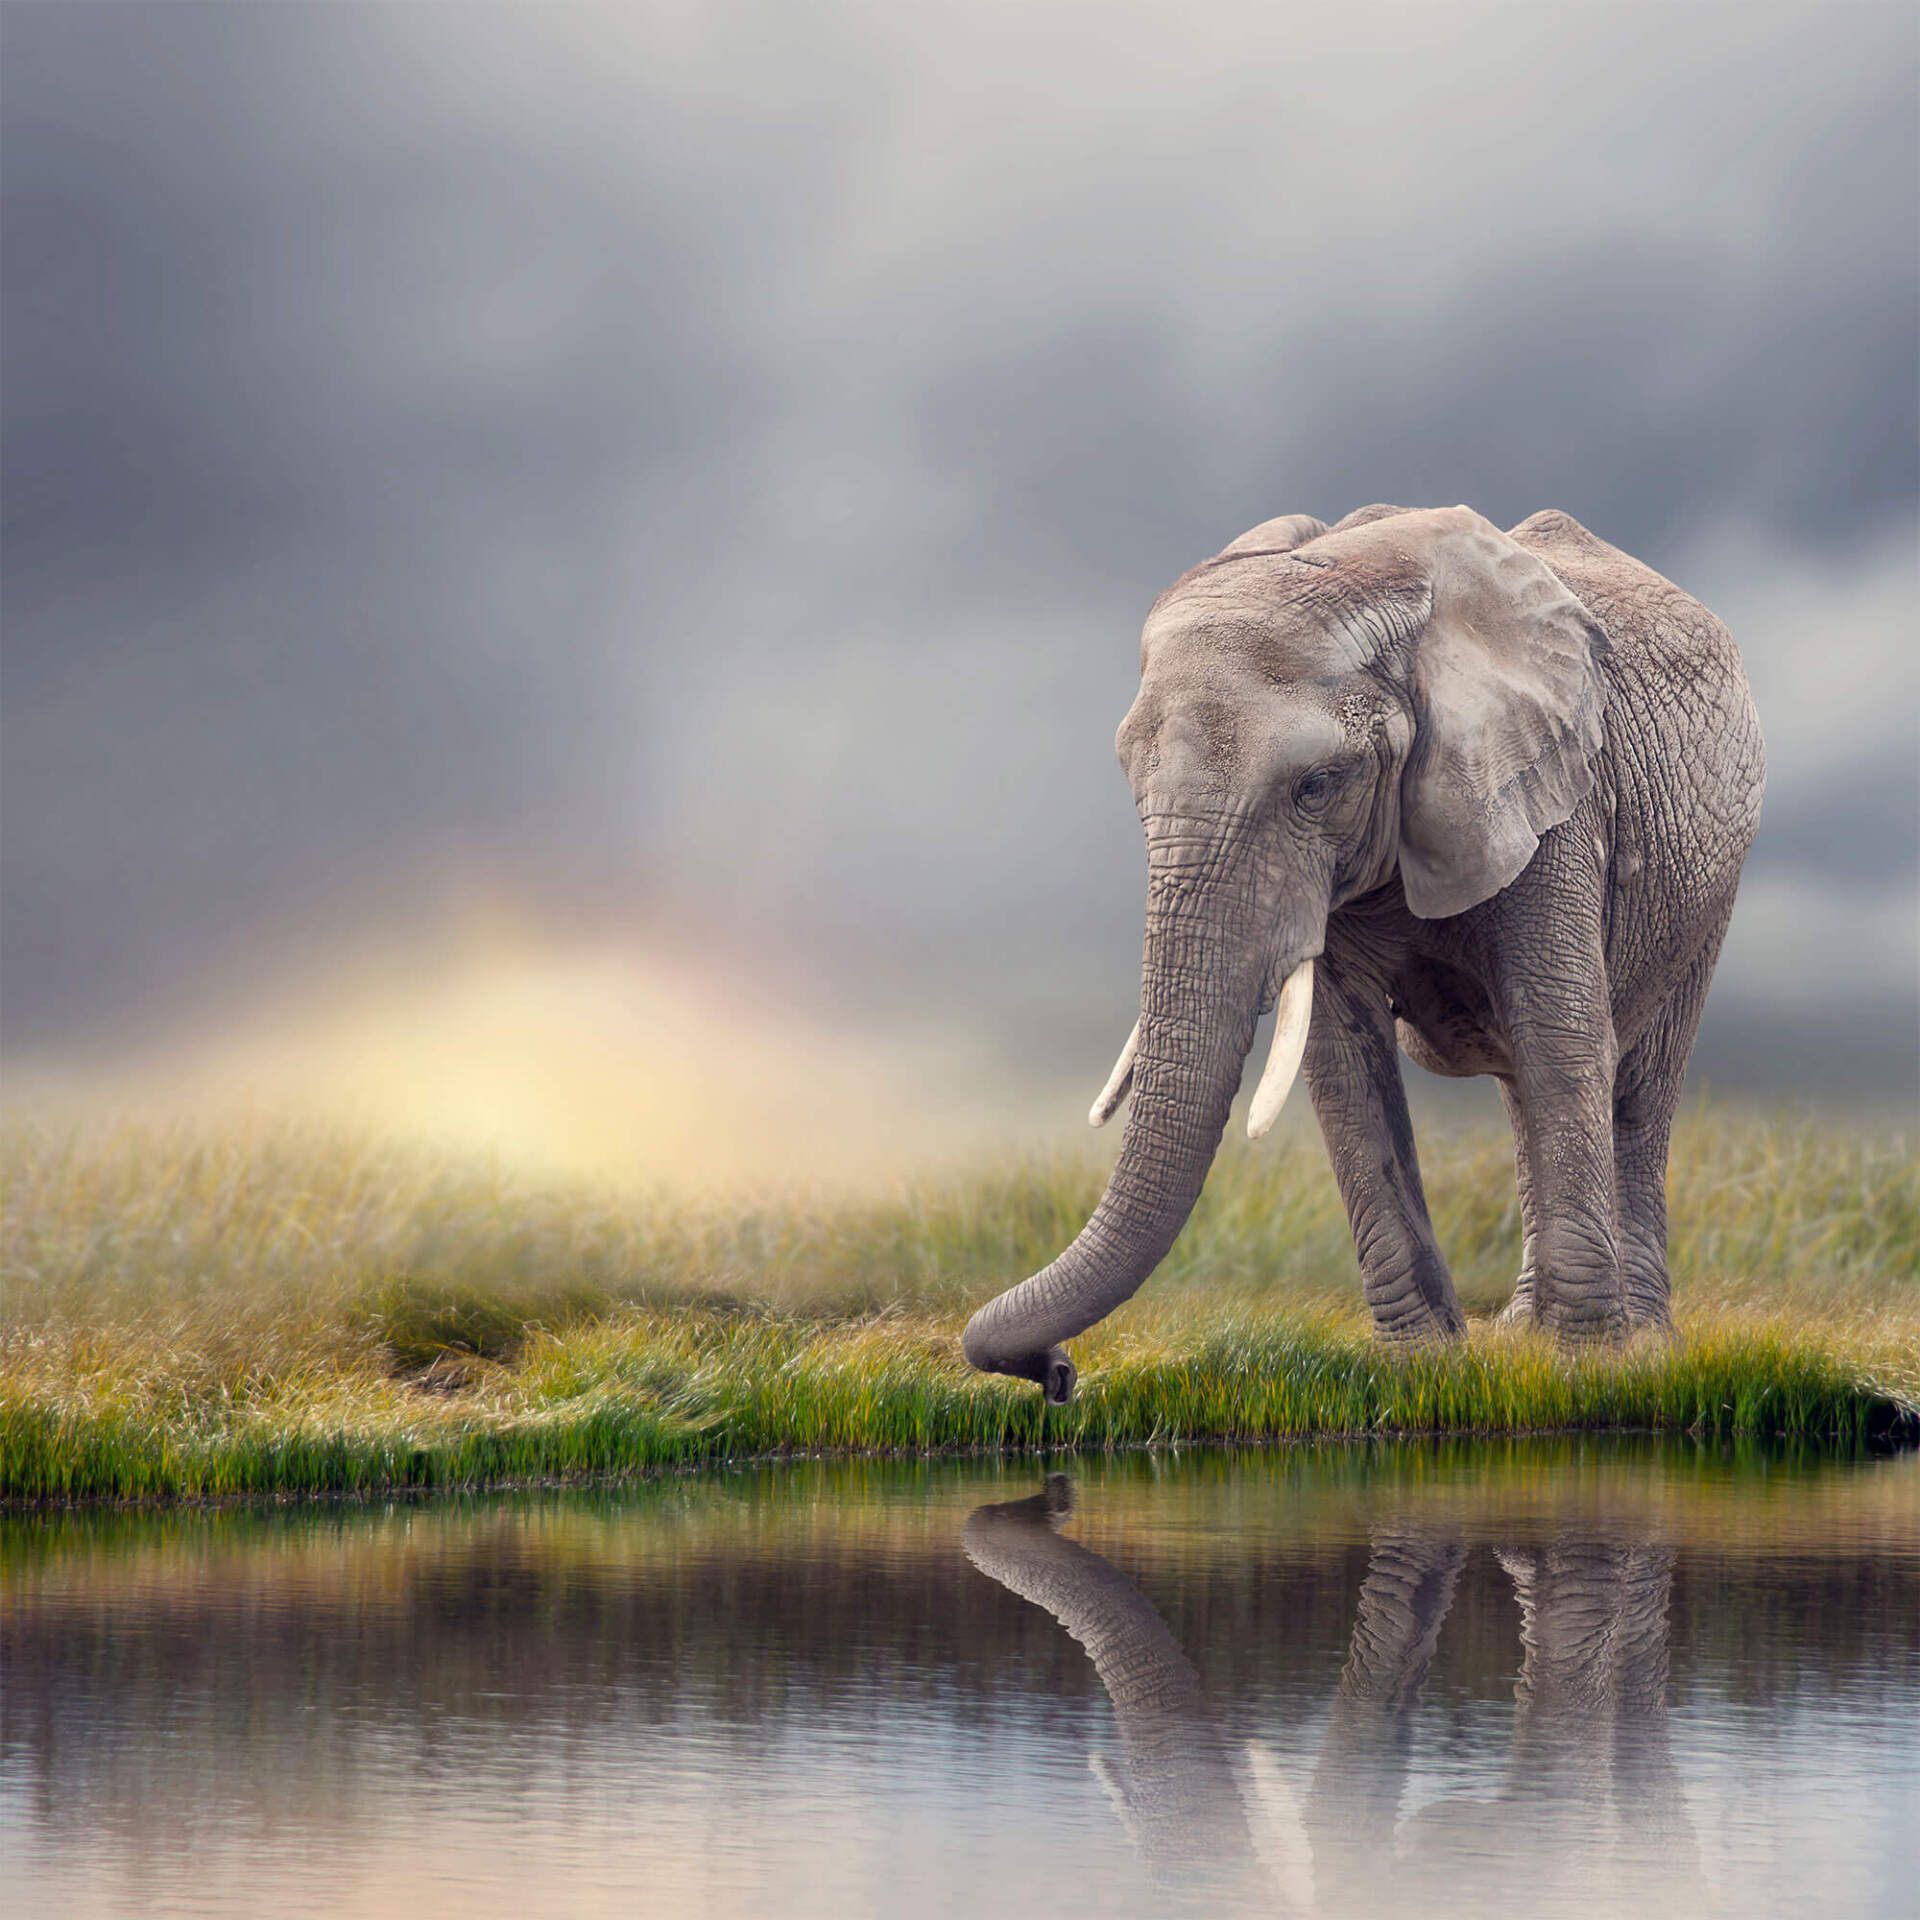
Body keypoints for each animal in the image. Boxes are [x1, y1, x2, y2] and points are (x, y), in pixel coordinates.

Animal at [967, 499, 1758, 1397]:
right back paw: (1523, 1329)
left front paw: (1585, 1367)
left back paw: (1645, 1343)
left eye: (1317, 786)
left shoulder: (1552, 791)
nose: (1057, 1373)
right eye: (1133, 784)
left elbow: (1562, 1039)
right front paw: (1425, 1365)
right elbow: (1346, 1066)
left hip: (1709, 880)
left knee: (1638, 1081)